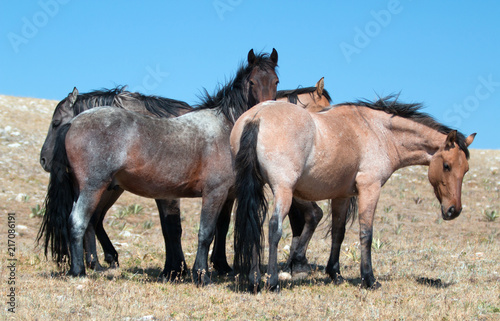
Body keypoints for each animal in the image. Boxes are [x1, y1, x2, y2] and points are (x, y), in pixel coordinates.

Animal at [38, 47, 282, 282]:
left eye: (276, 81)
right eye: (252, 82)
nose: (267, 111)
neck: (225, 127)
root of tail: (74, 123)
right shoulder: (214, 192)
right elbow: (205, 233)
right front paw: (200, 275)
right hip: (94, 188)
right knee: (78, 222)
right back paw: (79, 271)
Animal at [231, 96, 476, 292]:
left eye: (465, 169)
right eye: (447, 166)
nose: (453, 210)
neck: (378, 131)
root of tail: (256, 116)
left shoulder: (342, 196)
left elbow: (338, 234)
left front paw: (335, 274)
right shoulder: (370, 188)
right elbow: (366, 234)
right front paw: (369, 279)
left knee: (254, 225)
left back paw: (254, 280)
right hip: (284, 190)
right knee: (274, 227)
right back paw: (272, 282)